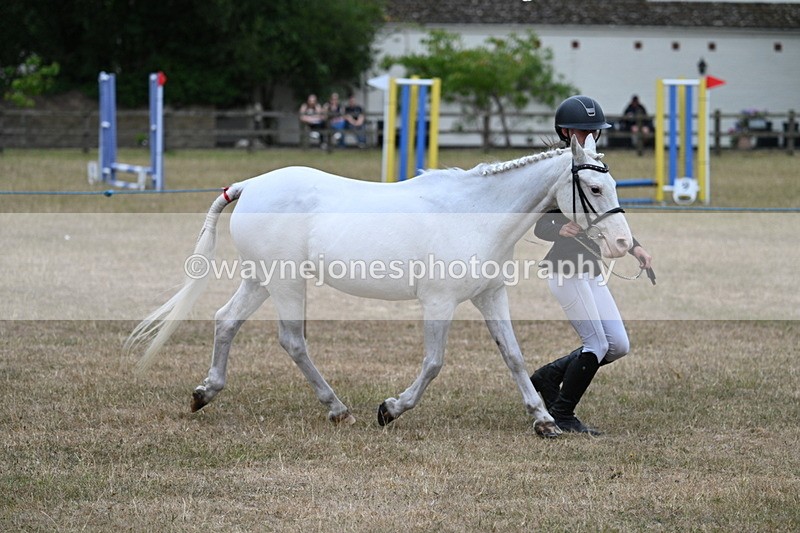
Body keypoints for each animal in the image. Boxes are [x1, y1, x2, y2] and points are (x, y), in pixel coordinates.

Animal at [126, 134, 632, 438]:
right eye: (594, 188)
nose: (623, 243)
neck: (474, 214)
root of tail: (250, 185)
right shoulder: (439, 302)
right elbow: (433, 363)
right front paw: (390, 408)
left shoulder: (490, 295)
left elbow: (513, 355)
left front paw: (544, 420)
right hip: (286, 283)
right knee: (292, 340)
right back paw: (337, 408)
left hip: (261, 280)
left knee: (225, 321)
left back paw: (205, 393)